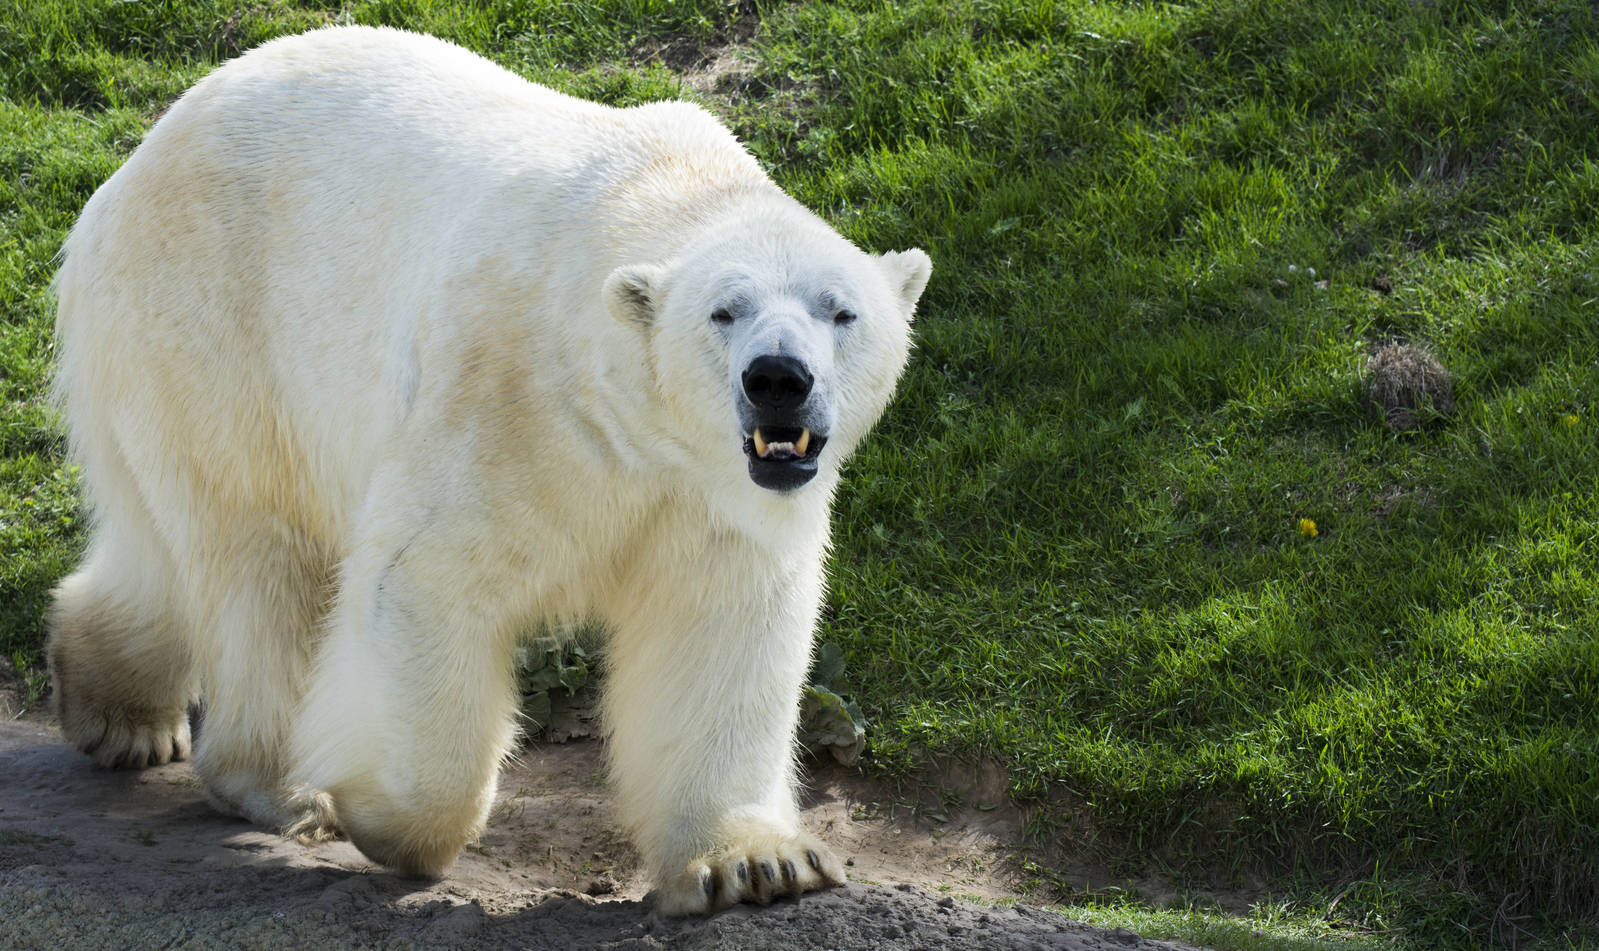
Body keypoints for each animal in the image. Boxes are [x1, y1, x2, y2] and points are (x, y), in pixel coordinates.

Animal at [46, 26, 930, 916]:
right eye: (723, 311)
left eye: (841, 310)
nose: (778, 377)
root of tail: (136, 163)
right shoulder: (511, 403)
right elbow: (427, 577)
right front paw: (386, 819)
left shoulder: (709, 497)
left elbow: (718, 628)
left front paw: (754, 864)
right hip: (214, 321)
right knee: (256, 552)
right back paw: (278, 784)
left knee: (169, 553)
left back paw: (118, 712)